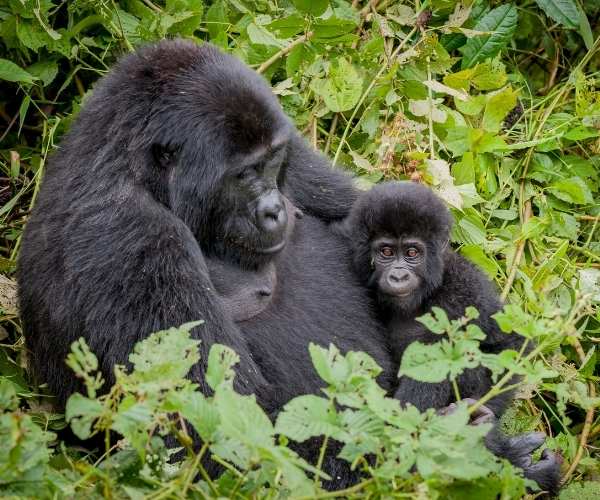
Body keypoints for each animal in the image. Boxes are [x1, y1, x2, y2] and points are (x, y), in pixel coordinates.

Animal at [18, 41, 560, 494]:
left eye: (272, 161)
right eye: (243, 175)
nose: (275, 209)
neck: (131, 167)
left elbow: (367, 218)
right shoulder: (128, 240)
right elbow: (230, 437)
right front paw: (489, 452)